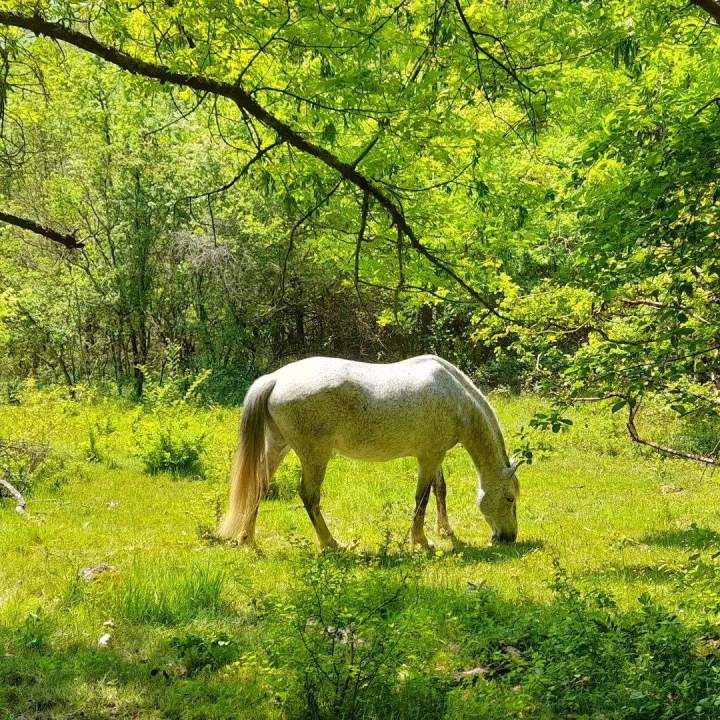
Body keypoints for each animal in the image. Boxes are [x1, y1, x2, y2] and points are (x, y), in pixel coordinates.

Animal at [218, 354, 522, 549]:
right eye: (509, 498)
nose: (509, 537)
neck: (455, 396)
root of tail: (276, 379)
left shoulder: (434, 456)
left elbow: (439, 490)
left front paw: (444, 530)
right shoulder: (429, 457)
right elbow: (421, 498)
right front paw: (421, 542)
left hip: (279, 446)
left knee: (259, 486)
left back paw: (246, 539)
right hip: (314, 455)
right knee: (309, 496)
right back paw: (330, 543)